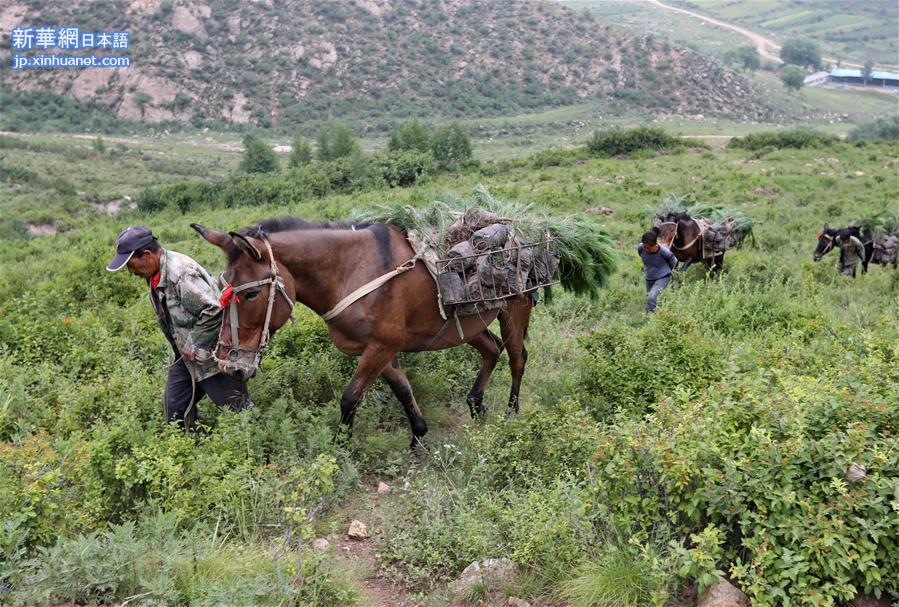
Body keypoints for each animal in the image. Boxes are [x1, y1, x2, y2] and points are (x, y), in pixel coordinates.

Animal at [190, 216, 536, 448]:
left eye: (250, 294)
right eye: (221, 288)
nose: (229, 364)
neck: (352, 271)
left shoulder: (381, 347)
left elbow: (350, 398)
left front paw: (340, 447)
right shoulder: (382, 350)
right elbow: (402, 390)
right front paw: (418, 436)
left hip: (514, 311)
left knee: (517, 358)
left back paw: (511, 411)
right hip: (469, 323)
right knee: (492, 349)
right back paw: (476, 405)